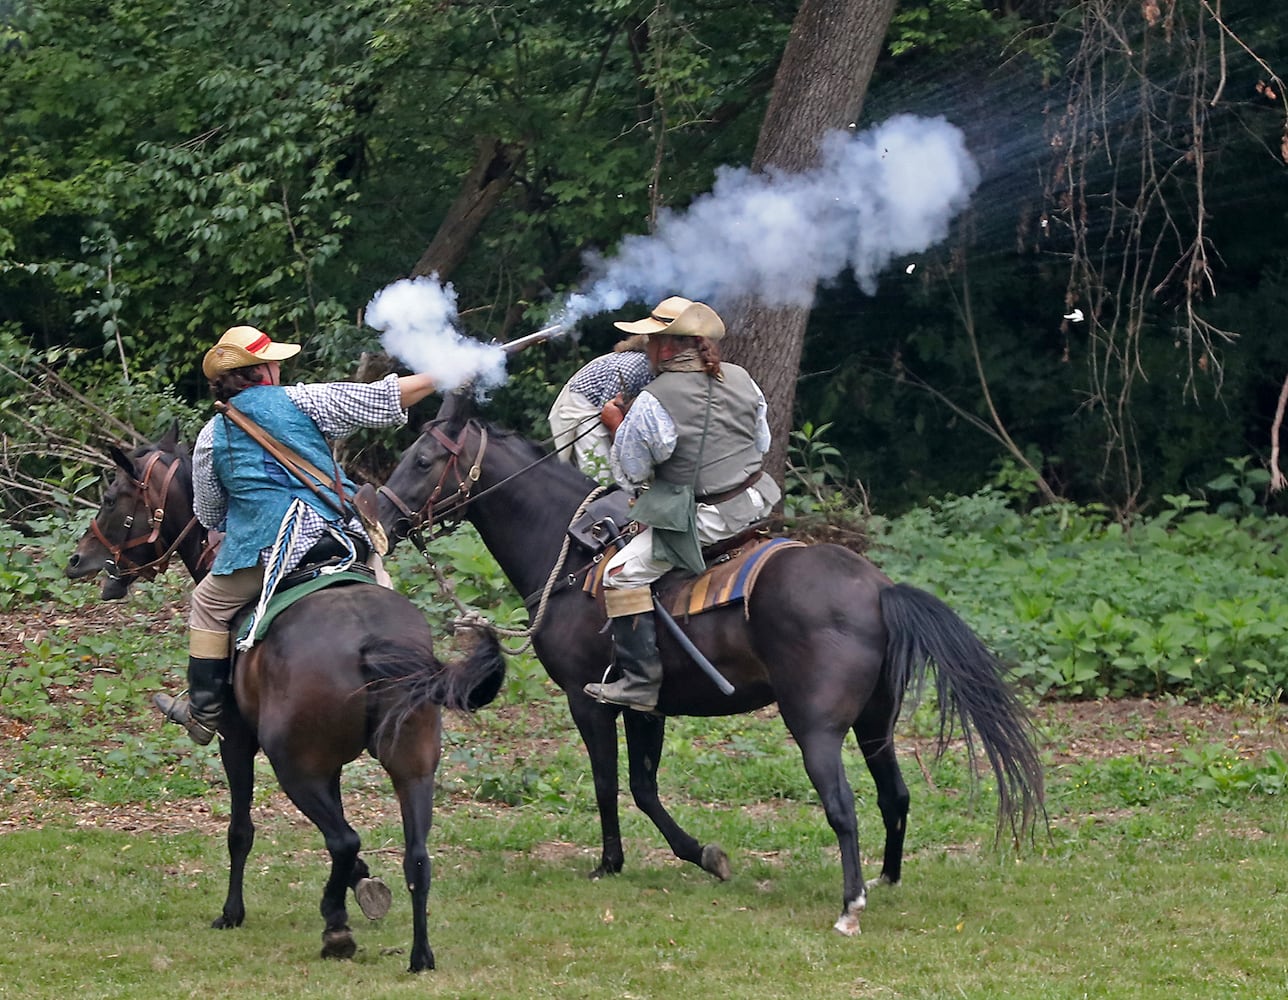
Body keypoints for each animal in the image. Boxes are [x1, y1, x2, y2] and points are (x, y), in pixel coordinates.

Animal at [66, 425, 502, 974]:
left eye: (111, 498)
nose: (76, 560)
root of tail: (371, 640)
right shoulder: (331, 766)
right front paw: (364, 886)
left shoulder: (238, 741)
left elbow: (242, 830)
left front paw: (232, 912)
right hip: (412, 768)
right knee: (415, 857)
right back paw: (417, 954)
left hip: (293, 766)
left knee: (344, 838)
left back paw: (335, 927)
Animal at [376, 396, 1040, 938]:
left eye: (423, 459)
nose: (379, 519)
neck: (574, 555)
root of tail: (878, 590)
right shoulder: (644, 707)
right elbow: (644, 787)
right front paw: (702, 857)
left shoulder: (588, 701)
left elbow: (609, 784)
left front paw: (611, 863)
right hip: (876, 722)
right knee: (894, 794)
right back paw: (886, 881)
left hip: (817, 728)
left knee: (844, 805)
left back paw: (850, 906)